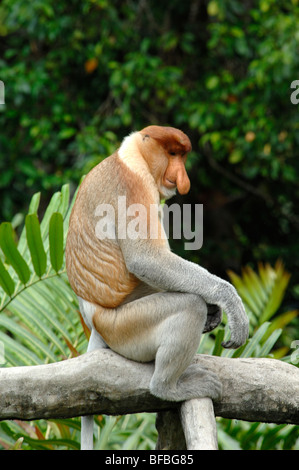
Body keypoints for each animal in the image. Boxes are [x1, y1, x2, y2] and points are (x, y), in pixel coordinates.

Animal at [65, 125, 248, 448]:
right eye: (172, 154)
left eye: (182, 156)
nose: (183, 178)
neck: (134, 155)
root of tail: (93, 319)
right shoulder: (134, 187)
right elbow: (147, 259)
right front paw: (227, 301)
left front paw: (215, 310)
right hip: (125, 327)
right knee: (187, 305)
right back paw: (168, 387)